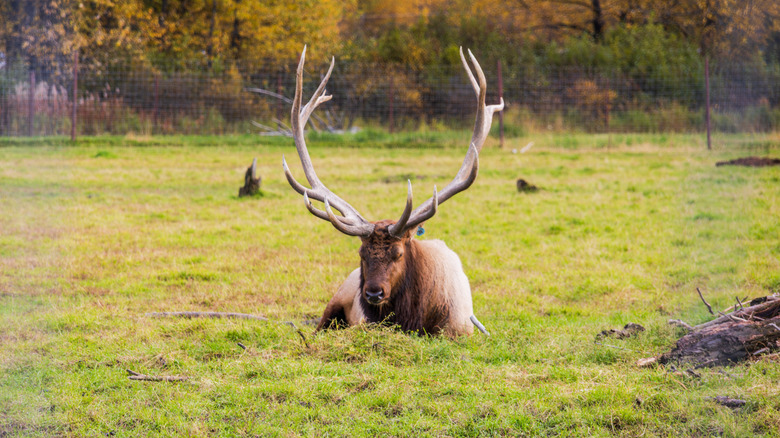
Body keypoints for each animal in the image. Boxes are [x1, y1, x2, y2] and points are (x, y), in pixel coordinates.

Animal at [283, 46, 503, 337]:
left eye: (398, 254)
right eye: (362, 254)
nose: (373, 293)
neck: (414, 318)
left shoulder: (459, 329)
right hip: (334, 302)